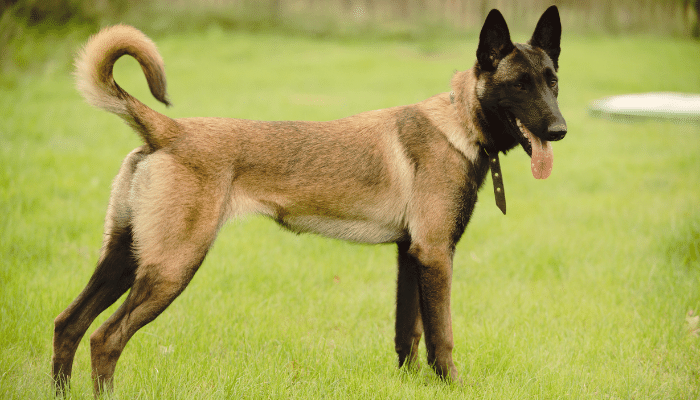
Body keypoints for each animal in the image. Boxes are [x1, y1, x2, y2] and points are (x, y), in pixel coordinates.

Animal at [53, 4, 568, 396]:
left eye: (552, 81)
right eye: (518, 85)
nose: (560, 130)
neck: (460, 122)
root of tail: (169, 131)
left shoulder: (409, 254)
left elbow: (408, 334)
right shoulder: (436, 255)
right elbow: (442, 337)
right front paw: (452, 385)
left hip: (125, 258)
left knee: (68, 325)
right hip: (171, 267)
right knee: (105, 338)